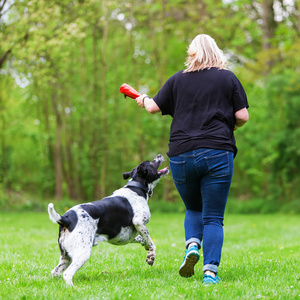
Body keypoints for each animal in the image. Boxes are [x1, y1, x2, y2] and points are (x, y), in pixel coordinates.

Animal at [48, 155, 168, 286]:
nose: (159, 155)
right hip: (83, 253)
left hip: (66, 256)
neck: (136, 188)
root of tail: (66, 218)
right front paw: (151, 255)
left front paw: (146, 248)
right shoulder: (139, 222)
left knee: (55, 272)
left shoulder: (127, 236)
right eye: (150, 163)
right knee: (67, 274)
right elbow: (152, 243)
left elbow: (143, 239)